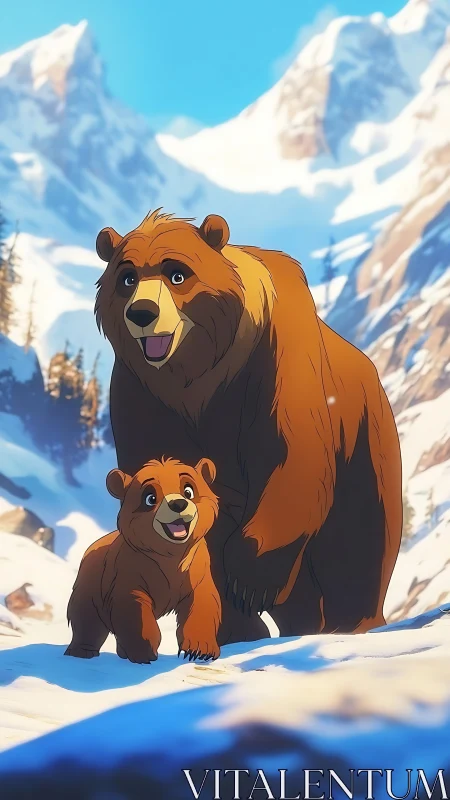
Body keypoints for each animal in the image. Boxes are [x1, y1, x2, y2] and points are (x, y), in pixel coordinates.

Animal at [64, 457, 221, 663]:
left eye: (188, 490)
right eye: (150, 498)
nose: (178, 504)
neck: (171, 556)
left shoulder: (197, 571)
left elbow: (202, 606)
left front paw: (200, 649)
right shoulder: (129, 574)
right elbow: (134, 612)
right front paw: (143, 651)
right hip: (91, 583)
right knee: (86, 617)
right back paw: (81, 651)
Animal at [94, 209, 403, 644]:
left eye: (177, 273)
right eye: (126, 277)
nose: (142, 313)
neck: (199, 371)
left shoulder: (275, 358)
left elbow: (292, 458)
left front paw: (251, 580)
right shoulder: (143, 390)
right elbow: (156, 466)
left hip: (365, 438)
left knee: (360, 542)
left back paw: (351, 623)